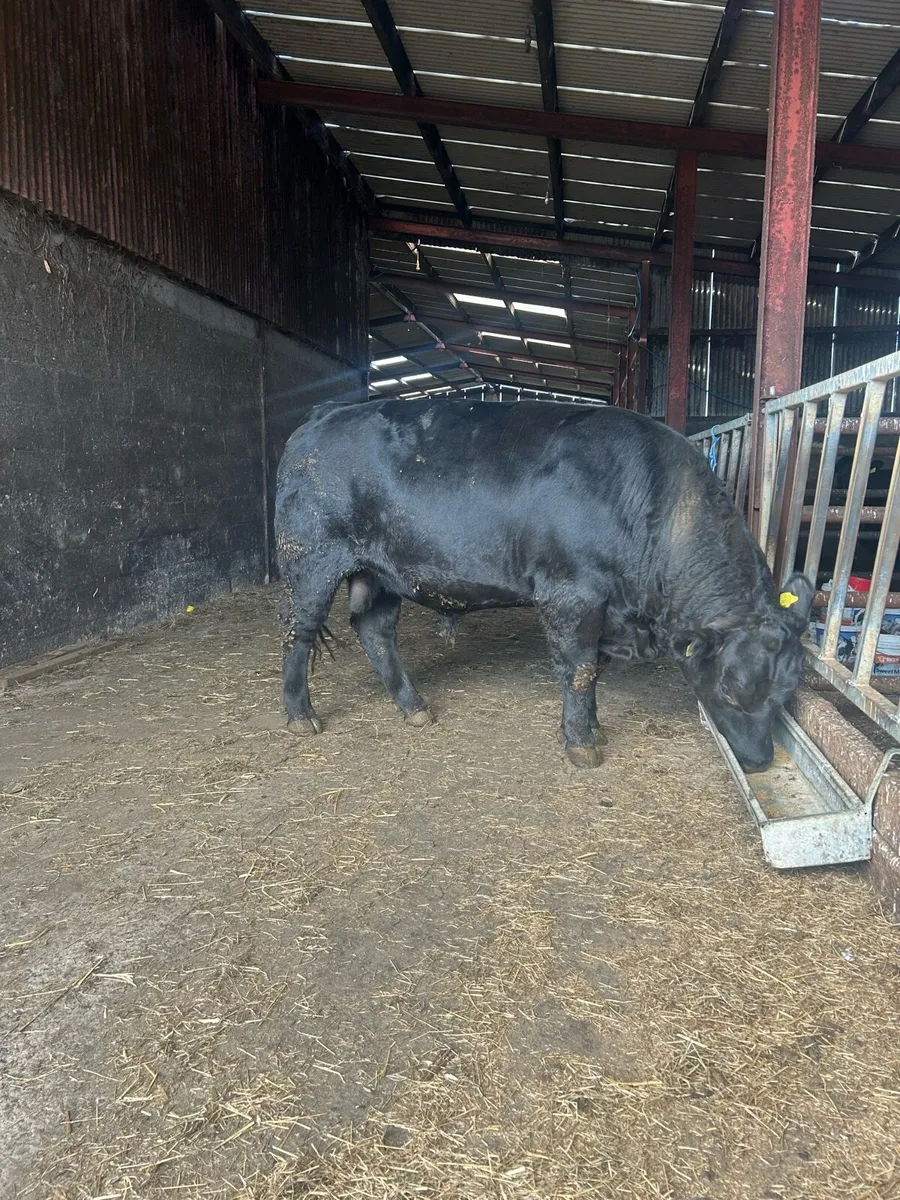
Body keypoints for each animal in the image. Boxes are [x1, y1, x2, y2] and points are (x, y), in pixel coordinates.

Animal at [274, 397, 814, 773]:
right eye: (729, 689)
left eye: (785, 693)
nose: (759, 760)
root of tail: (326, 413)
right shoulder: (571, 593)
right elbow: (579, 668)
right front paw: (582, 744)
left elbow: (591, 669)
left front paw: (588, 727)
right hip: (310, 560)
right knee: (298, 634)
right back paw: (300, 716)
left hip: (380, 572)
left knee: (375, 632)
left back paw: (414, 707)